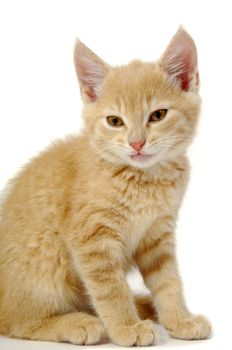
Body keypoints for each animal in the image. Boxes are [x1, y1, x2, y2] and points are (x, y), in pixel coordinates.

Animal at [0, 28, 211, 346]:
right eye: (115, 121)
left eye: (158, 115)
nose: (137, 143)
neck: (145, 179)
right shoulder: (91, 238)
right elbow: (110, 289)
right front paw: (126, 327)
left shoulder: (157, 234)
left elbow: (168, 280)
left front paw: (179, 319)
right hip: (44, 257)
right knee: (17, 321)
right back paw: (78, 323)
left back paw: (143, 305)